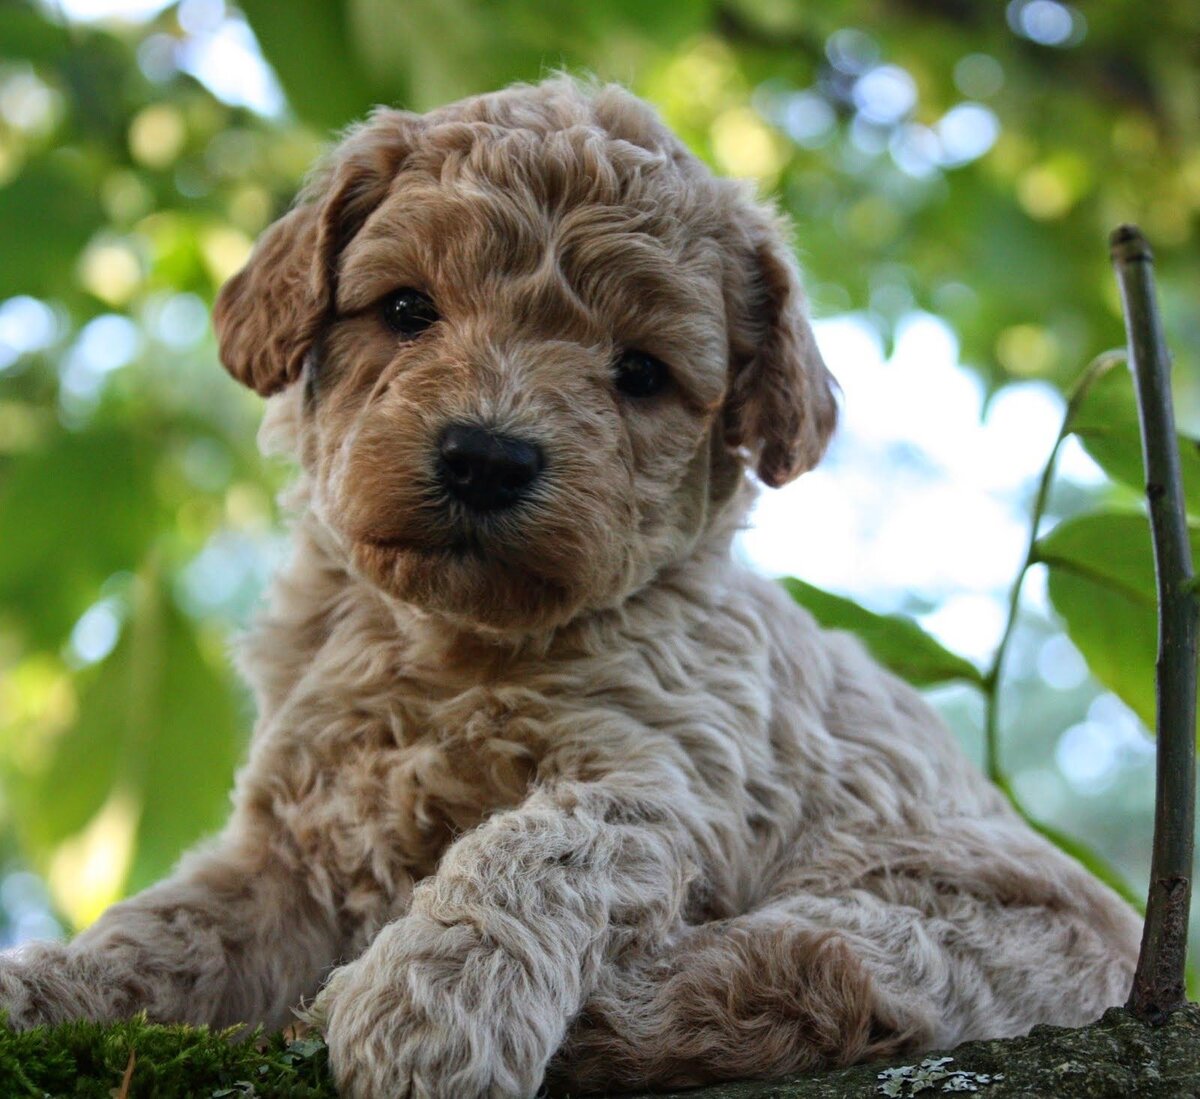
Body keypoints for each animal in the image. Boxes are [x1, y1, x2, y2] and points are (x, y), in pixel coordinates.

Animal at [0, 79, 1137, 1099]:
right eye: (406, 309)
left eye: (639, 372)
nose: (487, 457)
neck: (446, 642)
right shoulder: (289, 847)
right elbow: (167, 927)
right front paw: (44, 985)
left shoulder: (665, 774)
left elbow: (537, 845)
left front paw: (429, 1006)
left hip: (965, 923)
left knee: (809, 972)